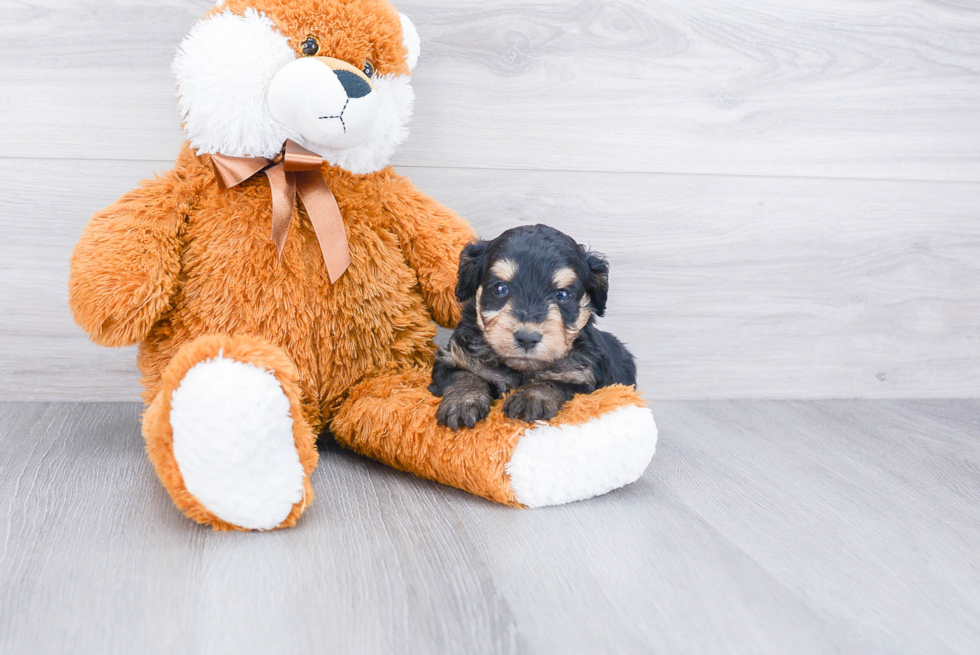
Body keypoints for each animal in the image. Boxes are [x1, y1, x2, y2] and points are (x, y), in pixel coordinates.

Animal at [428, 226, 636, 430]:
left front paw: (531, 398)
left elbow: (552, 380)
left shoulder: (580, 377)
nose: (527, 338)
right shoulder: (452, 358)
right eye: (500, 288)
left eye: (563, 295)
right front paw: (463, 402)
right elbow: (464, 374)